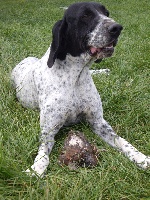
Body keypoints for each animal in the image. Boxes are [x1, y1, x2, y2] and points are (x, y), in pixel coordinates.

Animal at [10, 1, 150, 177]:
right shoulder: (48, 130)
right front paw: (37, 169)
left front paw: (143, 159)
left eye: (106, 13)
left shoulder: (98, 122)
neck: (76, 76)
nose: (117, 28)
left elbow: (123, 142)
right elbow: (43, 154)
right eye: (85, 16)